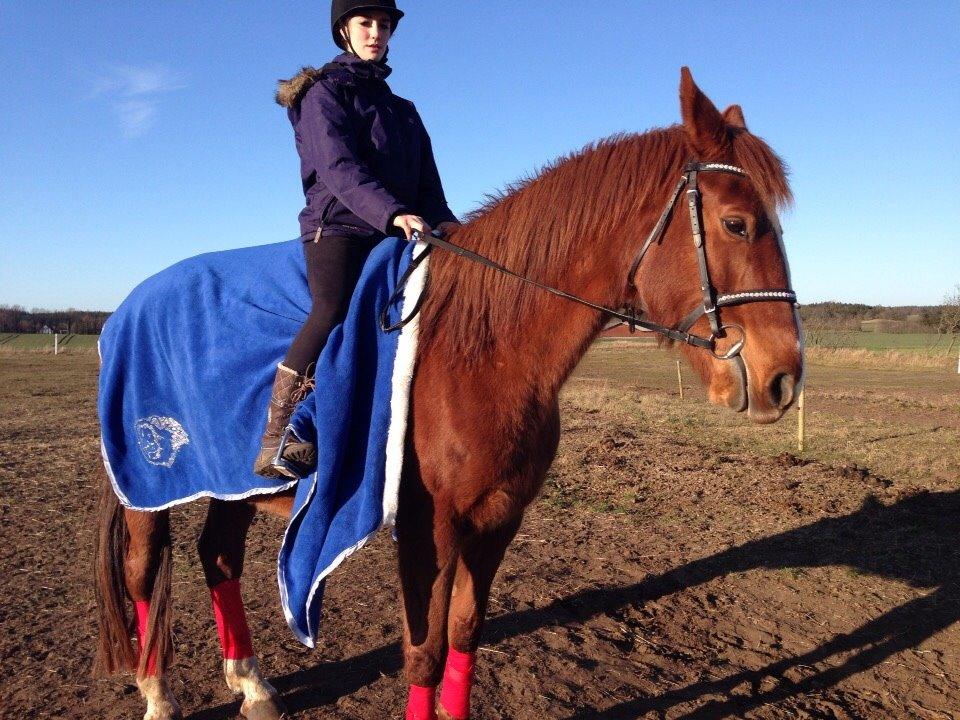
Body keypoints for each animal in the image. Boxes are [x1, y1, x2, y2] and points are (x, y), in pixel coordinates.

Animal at [95, 69, 804, 720]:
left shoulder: (496, 520)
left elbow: (464, 636)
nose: (784, 377)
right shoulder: (426, 529)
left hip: (232, 485)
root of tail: (127, 307)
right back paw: (157, 694)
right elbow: (424, 652)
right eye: (737, 223)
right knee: (142, 569)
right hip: (150, 488)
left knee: (218, 558)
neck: (481, 347)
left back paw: (251, 685)